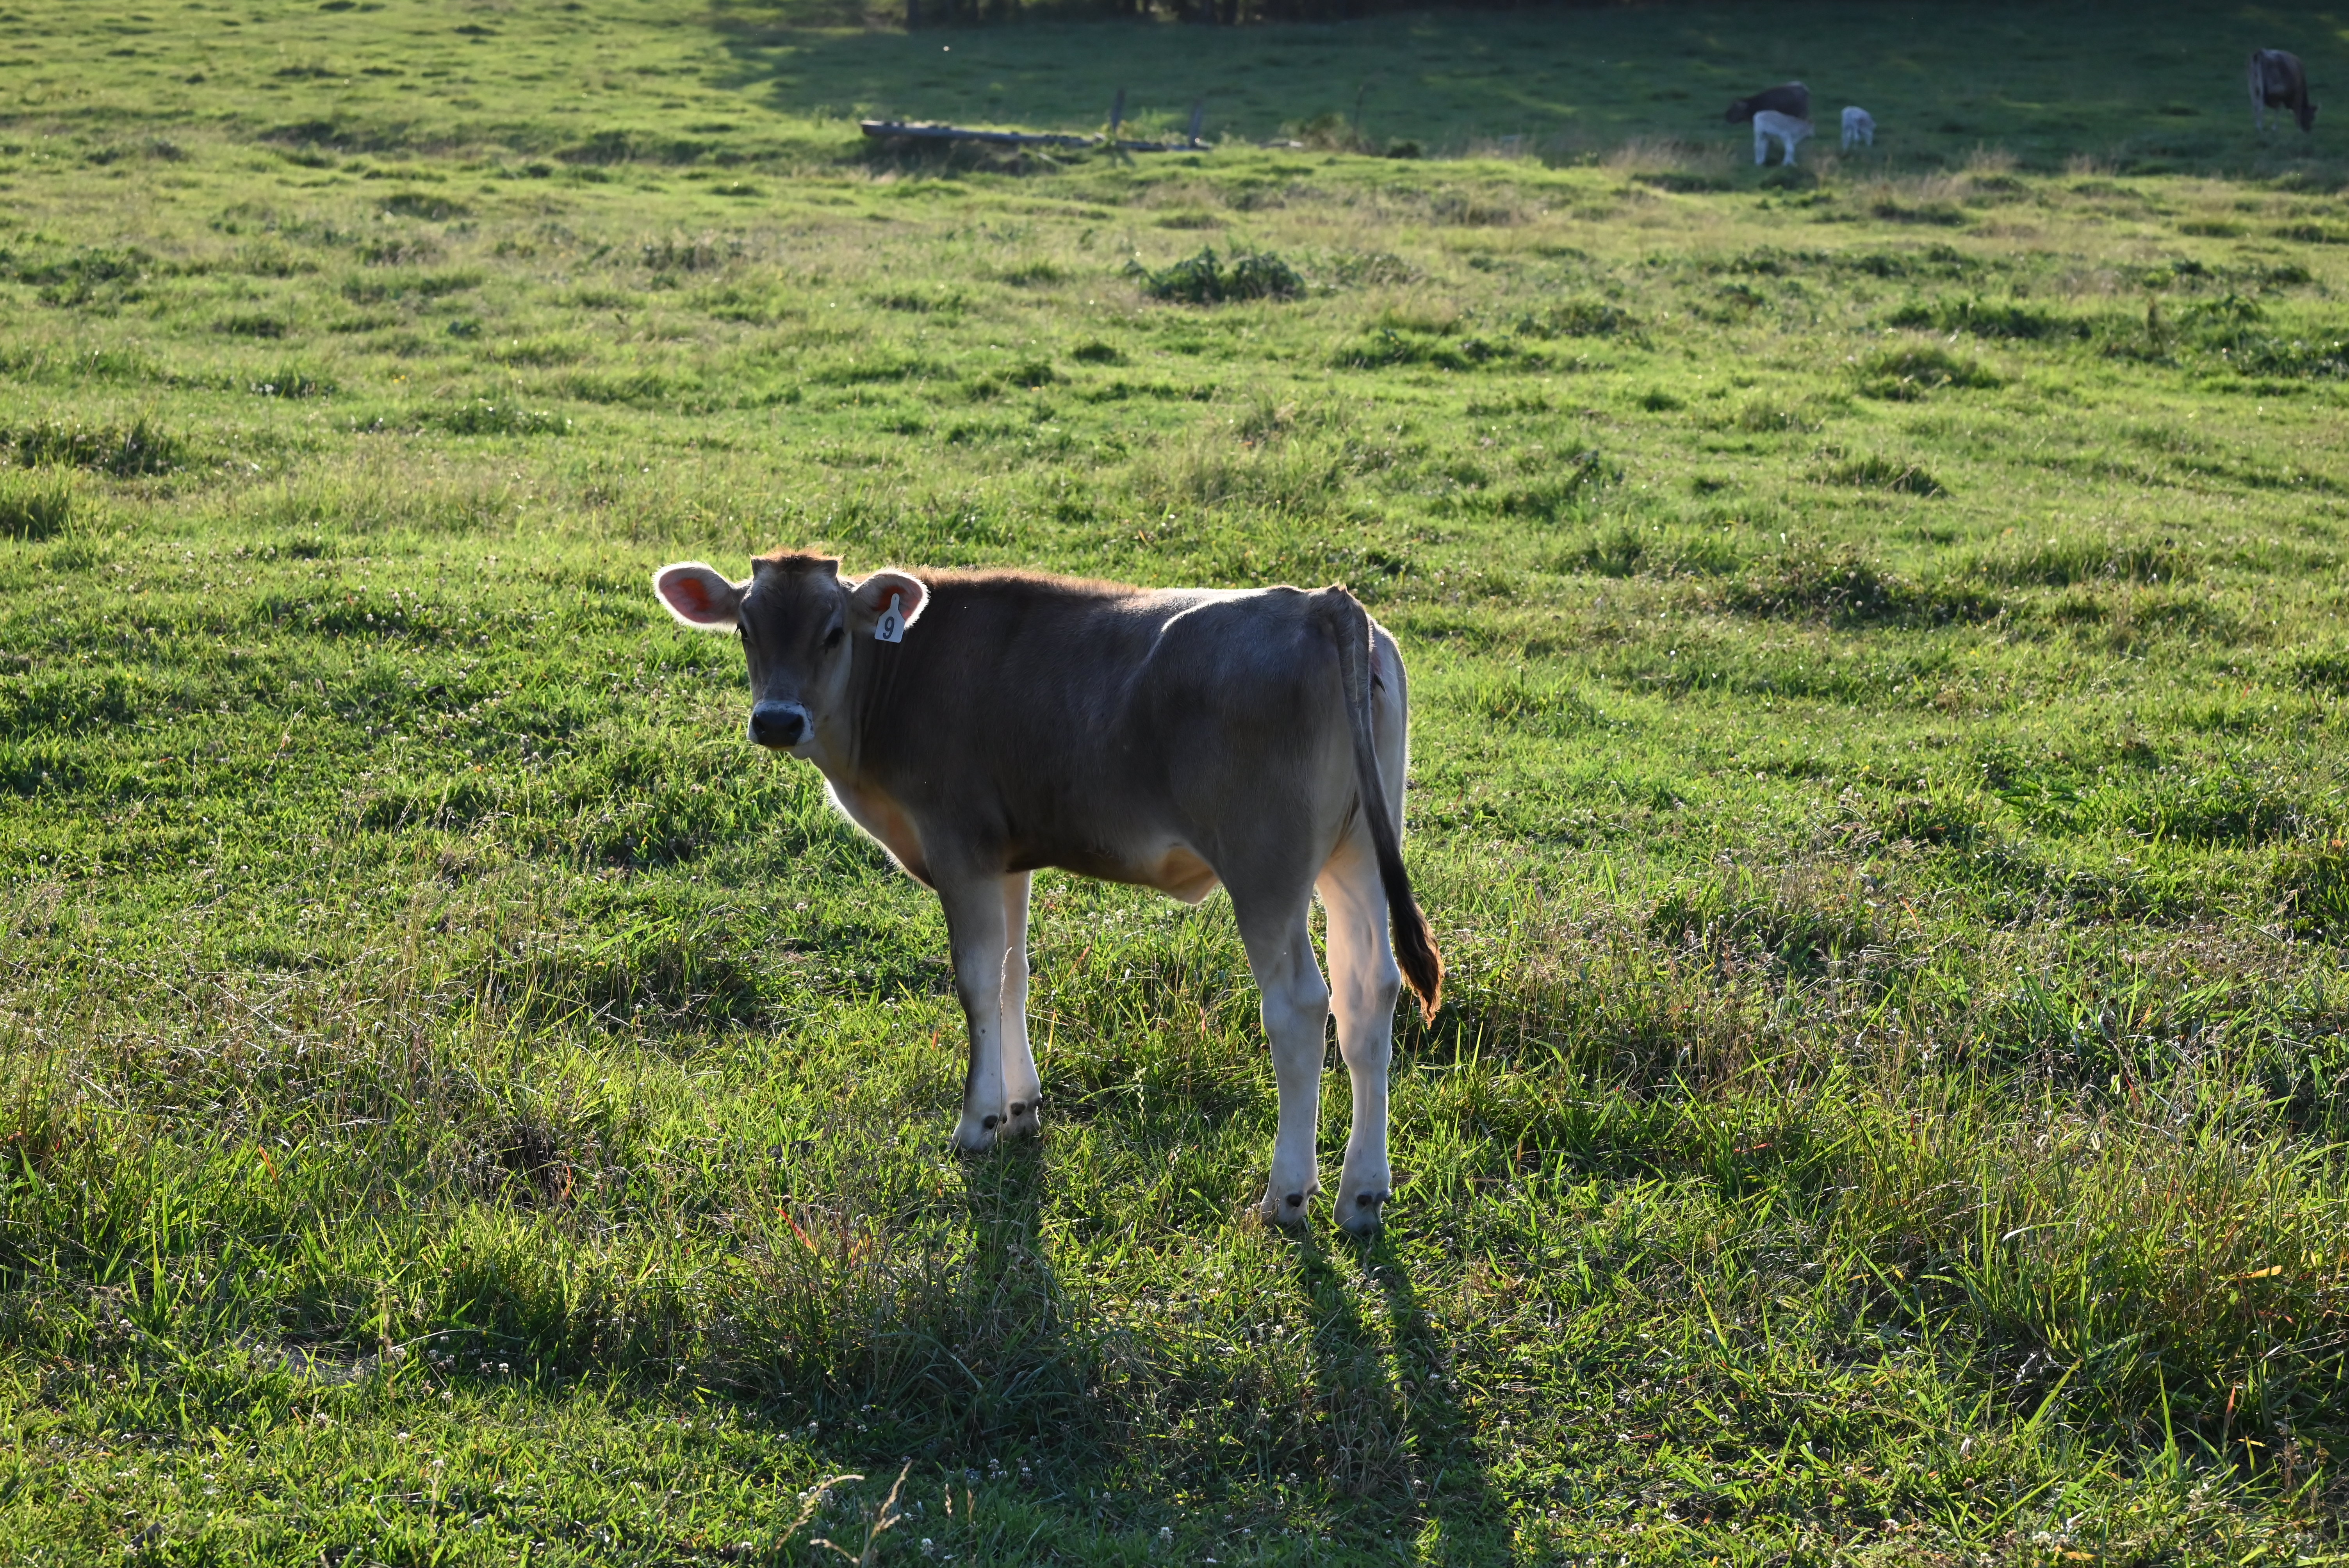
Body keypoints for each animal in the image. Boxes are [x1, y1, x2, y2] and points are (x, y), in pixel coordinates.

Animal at [652, 554, 1444, 1233]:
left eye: (832, 631)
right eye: (746, 629)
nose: (776, 720)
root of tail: (1323, 604)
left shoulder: (961, 849)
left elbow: (976, 981)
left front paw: (977, 1122)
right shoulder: (1008, 861)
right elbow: (1013, 974)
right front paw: (1021, 1108)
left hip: (1265, 865)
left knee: (1300, 1008)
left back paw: (1287, 1195)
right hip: (1357, 856)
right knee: (1369, 995)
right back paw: (1361, 1193)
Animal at [2249, 49, 2317, 134]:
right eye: (2312, 117)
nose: (2308, 130)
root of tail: (2261, 53)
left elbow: (2278, 109)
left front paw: (2275, 128)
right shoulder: (2296, 94)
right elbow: (2296, 110)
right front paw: (2299, 130)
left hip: (2254, 88)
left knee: (2255, 106)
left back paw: (2258, 127)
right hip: (2265, 90)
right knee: (2260, 107)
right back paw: (2260, 128)